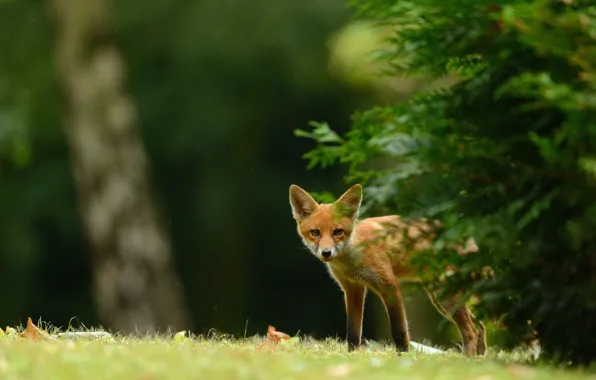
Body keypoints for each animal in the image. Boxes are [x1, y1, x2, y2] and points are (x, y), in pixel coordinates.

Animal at [288, 183, 488, 356]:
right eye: (315, 232)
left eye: (338, 232)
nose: (326, 253)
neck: (353, 258)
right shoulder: (353, 289)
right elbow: (353, 331)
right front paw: (352, 356)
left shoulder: (389, 285)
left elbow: (399, 330)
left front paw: (404, 357)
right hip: (441, 298)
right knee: (480, 325)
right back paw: (479, 359)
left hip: (445, 296)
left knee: (470, 331)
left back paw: (467, 361)